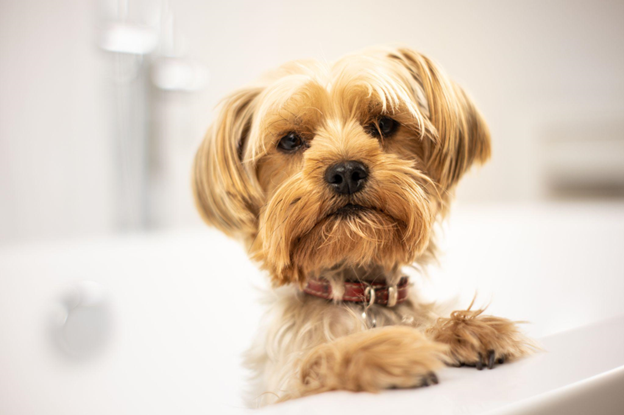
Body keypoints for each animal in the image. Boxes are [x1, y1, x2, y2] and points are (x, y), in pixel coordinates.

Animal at [194, 46, 532, 406]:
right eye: (289, 140)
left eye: (384, 123)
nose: (345, 172)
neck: (358, 293)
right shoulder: (283, 389)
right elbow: (319, 359)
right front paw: (386, 351)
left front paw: (462, 330)